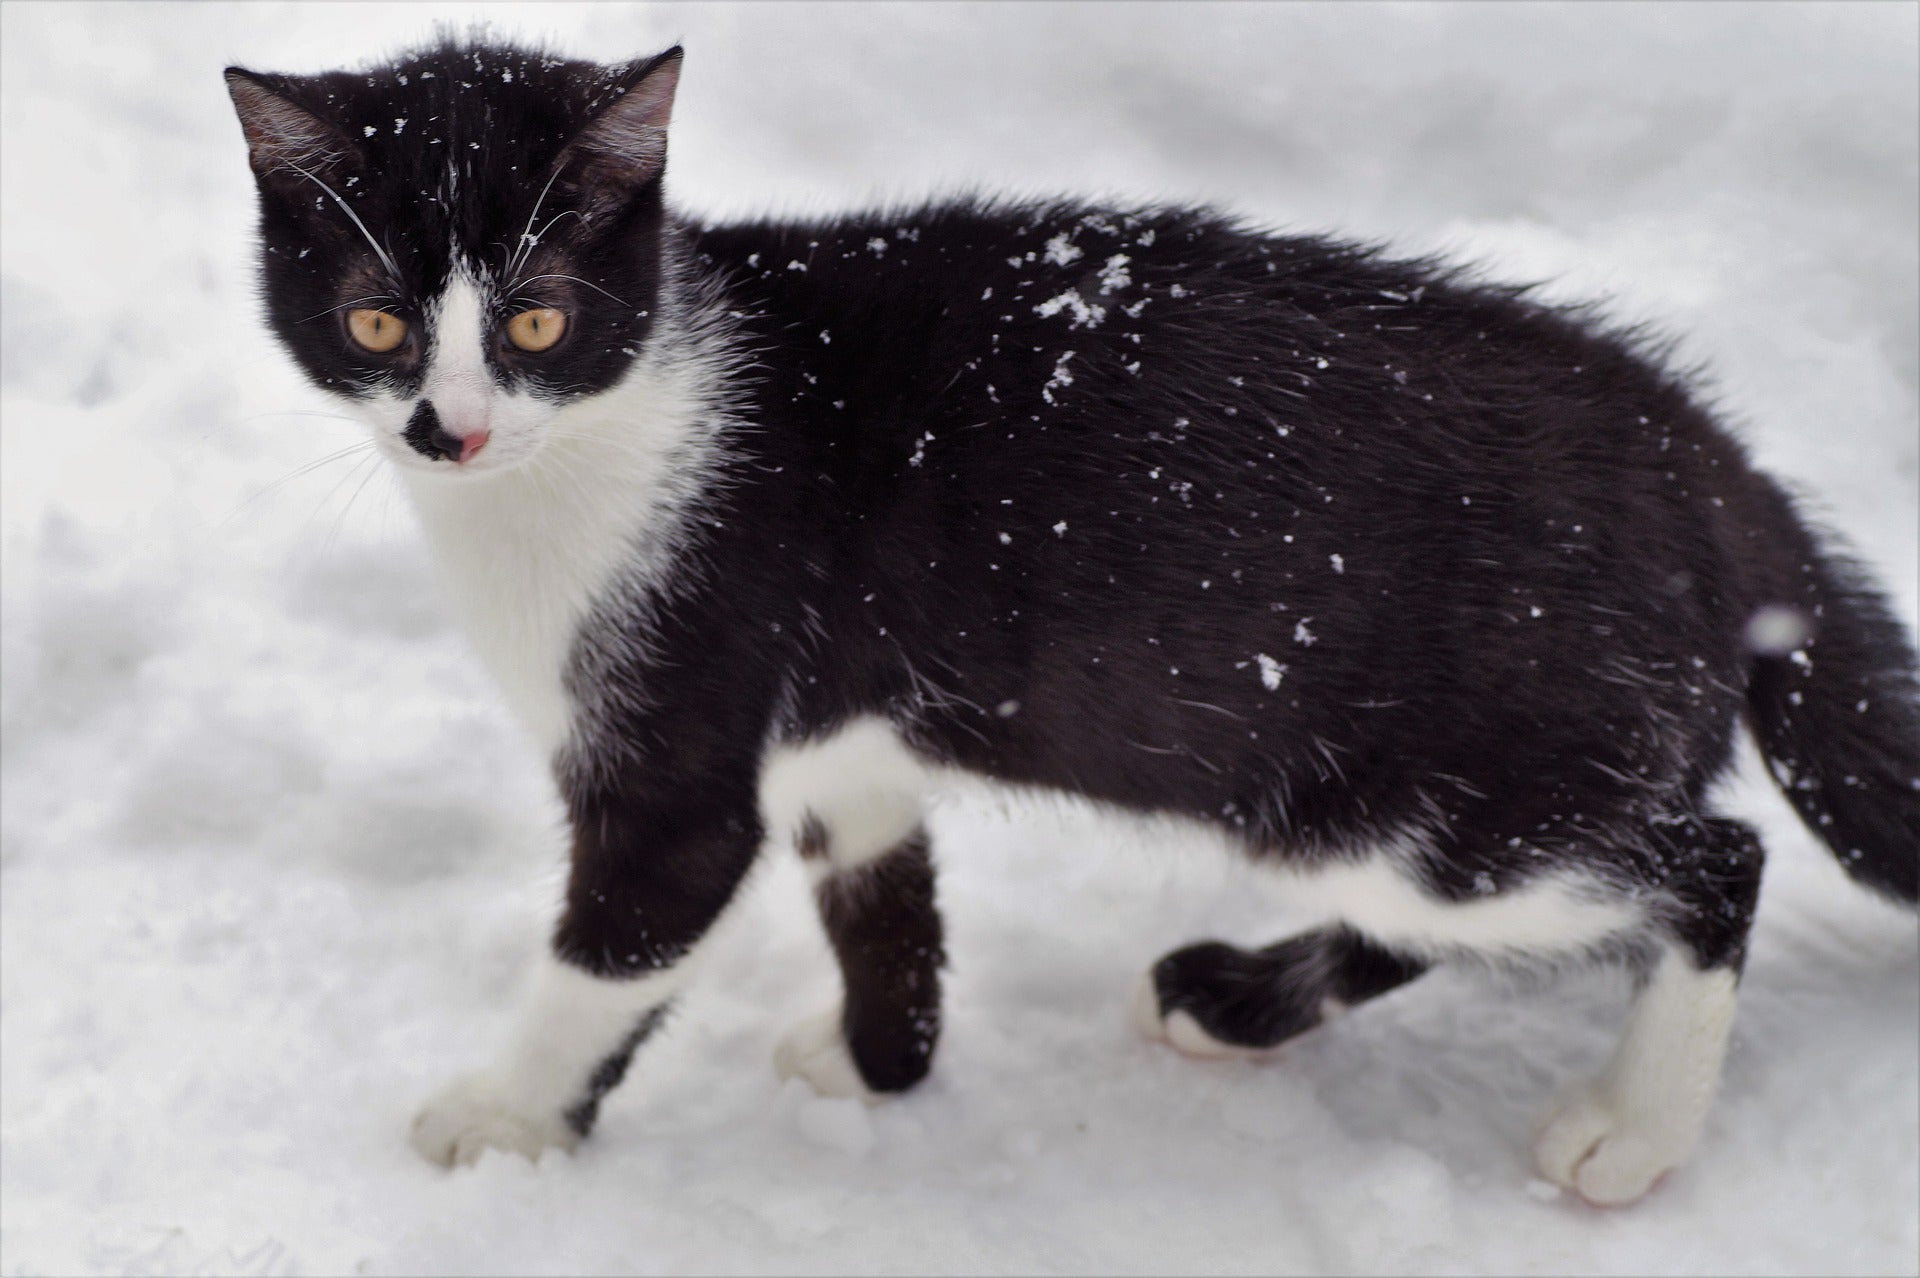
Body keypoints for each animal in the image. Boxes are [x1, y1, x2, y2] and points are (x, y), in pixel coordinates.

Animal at [228, 34, 1920, 1197]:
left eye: (536, 320)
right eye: (373, 320)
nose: (450, 428)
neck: (616, 428)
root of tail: (1721, 473)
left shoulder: (681, 747)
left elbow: (611, 954)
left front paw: (504, 1116)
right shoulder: (846, 730)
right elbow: (884, 889)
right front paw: (883, 1062)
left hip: (1447, 799)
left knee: (1710, 863)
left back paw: (1631, 1129)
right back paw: (1237, 1001)